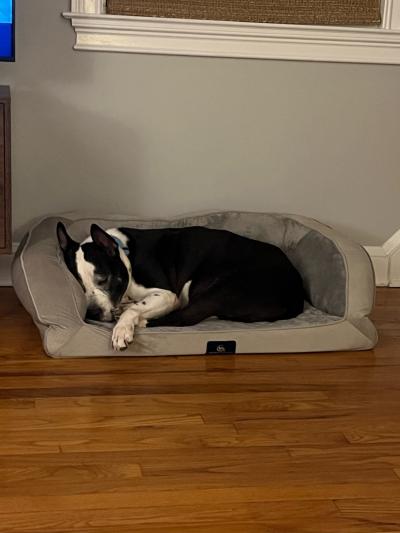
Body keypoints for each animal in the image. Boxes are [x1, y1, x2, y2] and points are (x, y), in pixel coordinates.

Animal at [57, 222, 304, 352]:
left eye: (103, 278)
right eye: (79, 285)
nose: (92, 312)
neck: (124, 255)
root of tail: (297, 292)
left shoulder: (167, 295)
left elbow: (135, 307)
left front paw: (122, 328)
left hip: (217, 289)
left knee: (185, 316)